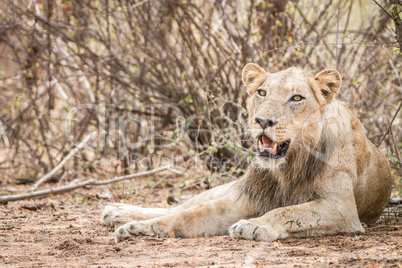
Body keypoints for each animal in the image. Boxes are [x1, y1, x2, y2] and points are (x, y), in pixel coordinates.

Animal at [102, 63, 392, 243]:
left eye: (297, 98)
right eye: (261, 92)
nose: (262, 120)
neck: (288, 167)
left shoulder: (342, 209)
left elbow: (286, 211)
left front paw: (255, 225)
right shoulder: (244, 198)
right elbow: (187, 214)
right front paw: (141, 229)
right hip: (230, 187)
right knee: (183, 204)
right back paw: (119, 213)